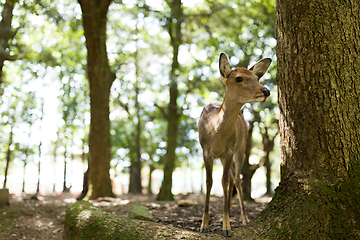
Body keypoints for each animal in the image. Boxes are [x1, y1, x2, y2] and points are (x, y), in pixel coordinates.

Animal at [198, 52, 272, 236]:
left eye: (256, 77)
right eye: (239, 78)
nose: (266, 90)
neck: (214, 132)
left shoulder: (229, 151)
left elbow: (223, 181)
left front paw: (227, 228)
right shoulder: (205, 150)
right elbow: (209, 182)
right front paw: (204, 225)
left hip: (241, 148)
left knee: (236, 179)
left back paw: (243, 219)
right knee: (232, 178)